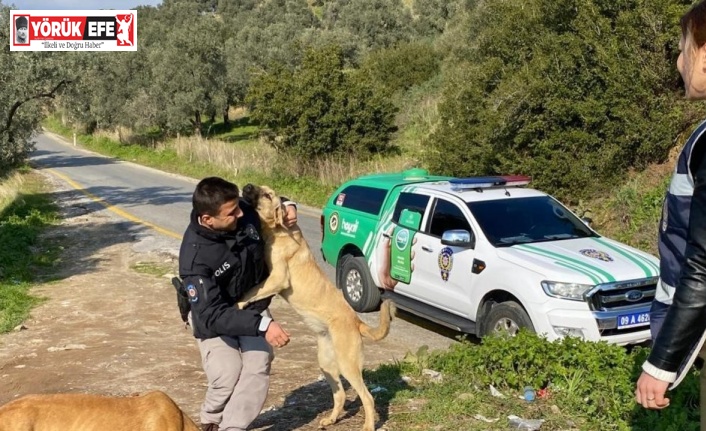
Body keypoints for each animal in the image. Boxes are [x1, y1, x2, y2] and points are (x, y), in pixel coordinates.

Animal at [241, 184, 396, 431]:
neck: (277, 229)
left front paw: (238, 302)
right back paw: (331, 419)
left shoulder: (277, 278)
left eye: (266, 195)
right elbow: (254, 290)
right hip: (326, 364)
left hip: (348, 364)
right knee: (340, 394)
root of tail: (357, 321)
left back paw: (368, 425)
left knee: (368, 397)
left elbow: (253, 291)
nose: (246, 186)